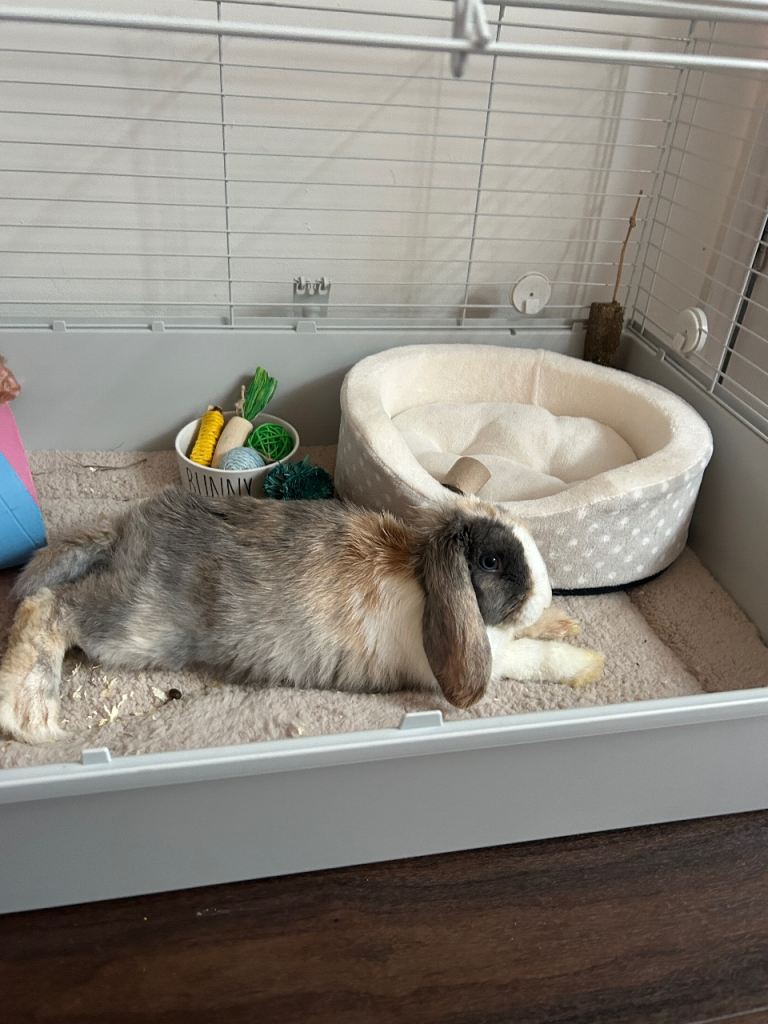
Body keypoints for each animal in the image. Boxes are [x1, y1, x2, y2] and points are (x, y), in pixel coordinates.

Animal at [0, 488, 604, 744]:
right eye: (491, 561)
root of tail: (126, 535)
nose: (544, 592)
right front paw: (588, 663)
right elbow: (532, 659)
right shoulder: (485, 657)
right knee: (47, 607)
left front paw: (565, 622)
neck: (428, 581)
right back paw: (30, 716)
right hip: (135, 629)